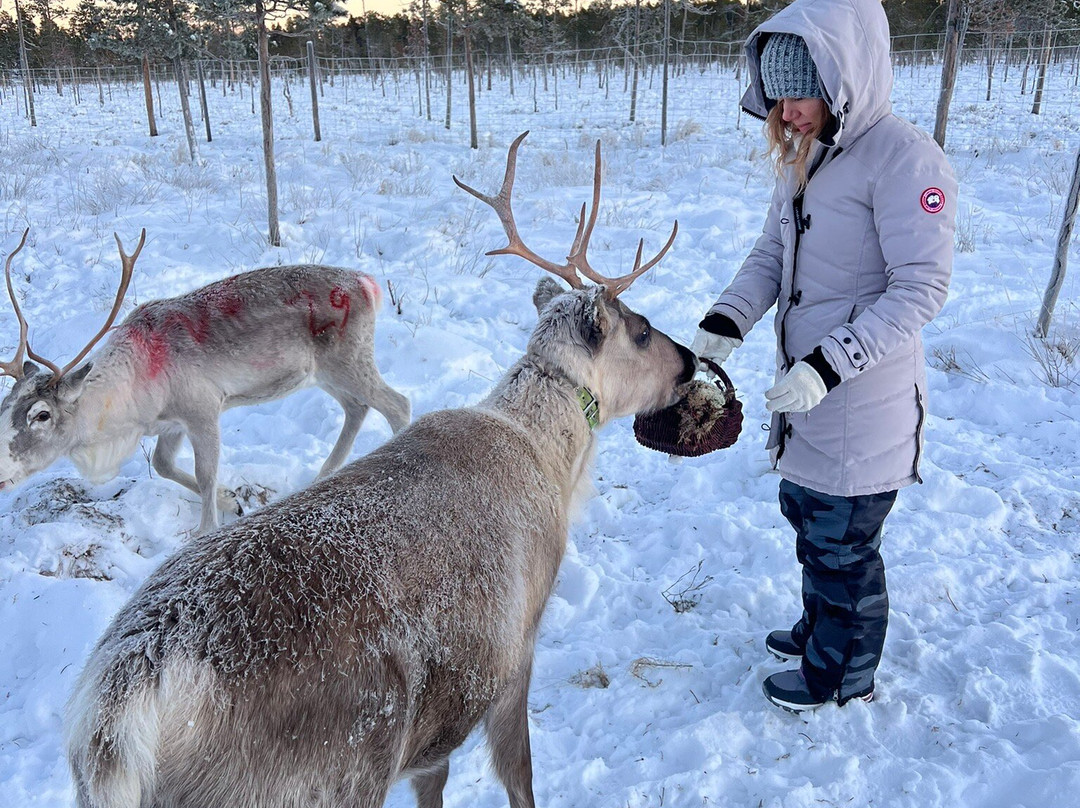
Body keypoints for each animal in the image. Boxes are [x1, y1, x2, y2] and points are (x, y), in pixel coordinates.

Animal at [0, 229, 410, 534]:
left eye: (41, 414)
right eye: (4, 405)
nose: (0, 473)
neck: (131, 407)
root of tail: (369, 283)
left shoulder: (203, 409)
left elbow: (206, 474)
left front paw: (210, 522)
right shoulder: (170, 423)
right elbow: (164, 465)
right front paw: (233, 500)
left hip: (349, 359)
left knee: (397, 405)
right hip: (323, 373)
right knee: (357, 407)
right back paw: (322, 475)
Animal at [64, 131, 695, 808]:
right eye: (642, 330)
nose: (689, 360)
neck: (549, 459)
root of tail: (117, 712)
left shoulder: (434, 734)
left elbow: (435, 784)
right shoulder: (515, 648)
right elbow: (519, 774)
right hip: (332, 768)